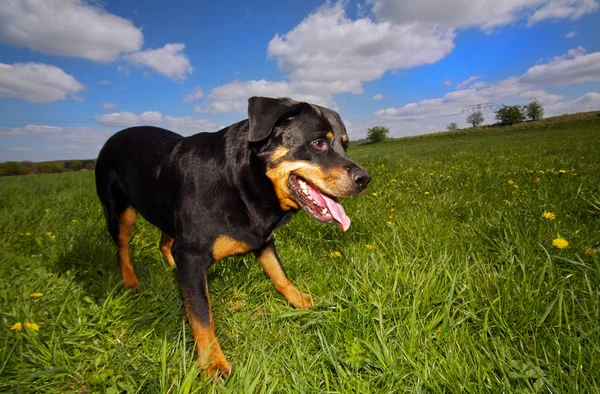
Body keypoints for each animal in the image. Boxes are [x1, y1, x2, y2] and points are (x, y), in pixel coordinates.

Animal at [94, 95, 370, 376]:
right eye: (318, 143)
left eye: (345, 145)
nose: (365, 178)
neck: (240, 180)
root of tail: (112, 137)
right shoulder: (191, 256)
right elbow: (202, 315)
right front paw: (213, 363)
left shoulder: (262, 239)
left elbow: (279, 274)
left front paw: (300, 299)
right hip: (120, 212)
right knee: (122, 248)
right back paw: (131, 283)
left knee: (165, 241)